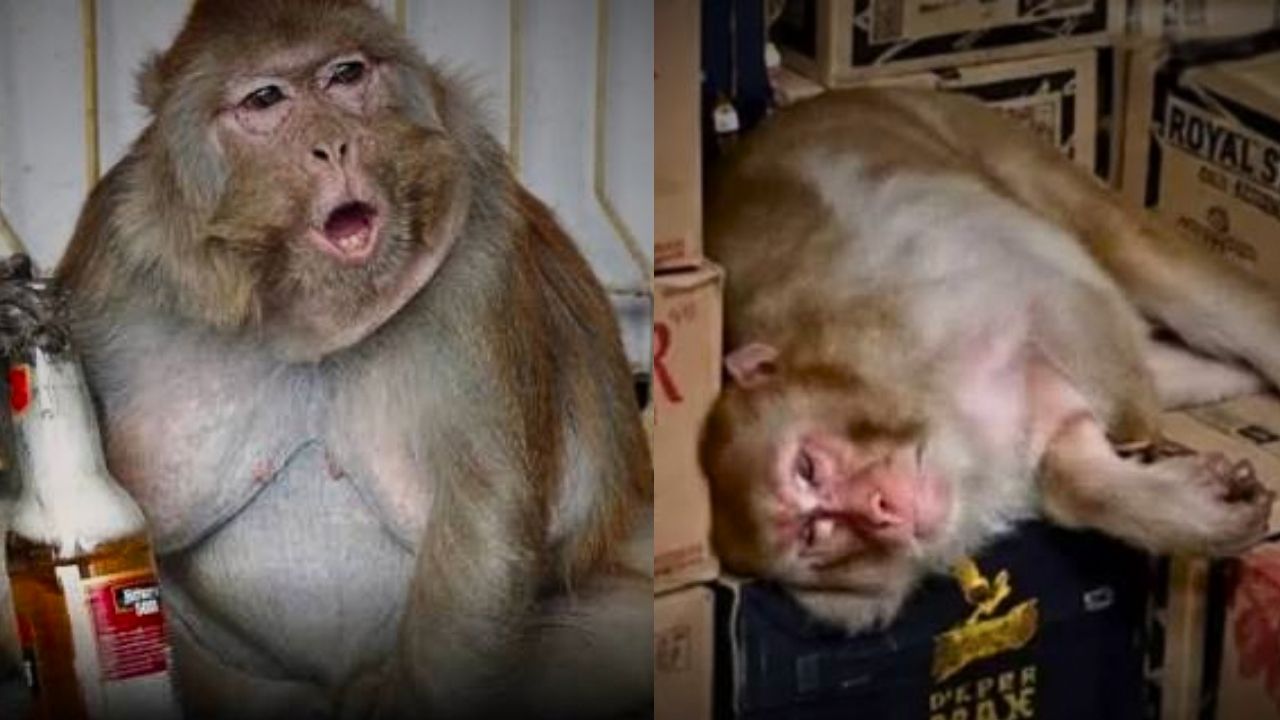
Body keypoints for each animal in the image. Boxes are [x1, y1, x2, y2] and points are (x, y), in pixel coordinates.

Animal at [0, 1, 653, 718]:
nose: (336, 145)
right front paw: (17, 317)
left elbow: (486, 511)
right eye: (265, 99)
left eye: (346, 76)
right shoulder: (117, 249)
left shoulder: (481, 242)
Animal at [698, 87, 1280, 633]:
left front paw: (1134, 427)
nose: (882, 511)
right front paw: (1170, 499)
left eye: (806, 467)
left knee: (1128, 257)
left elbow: (1057, 293)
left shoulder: (925, 295)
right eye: (815, 534)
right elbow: (1065, 453)